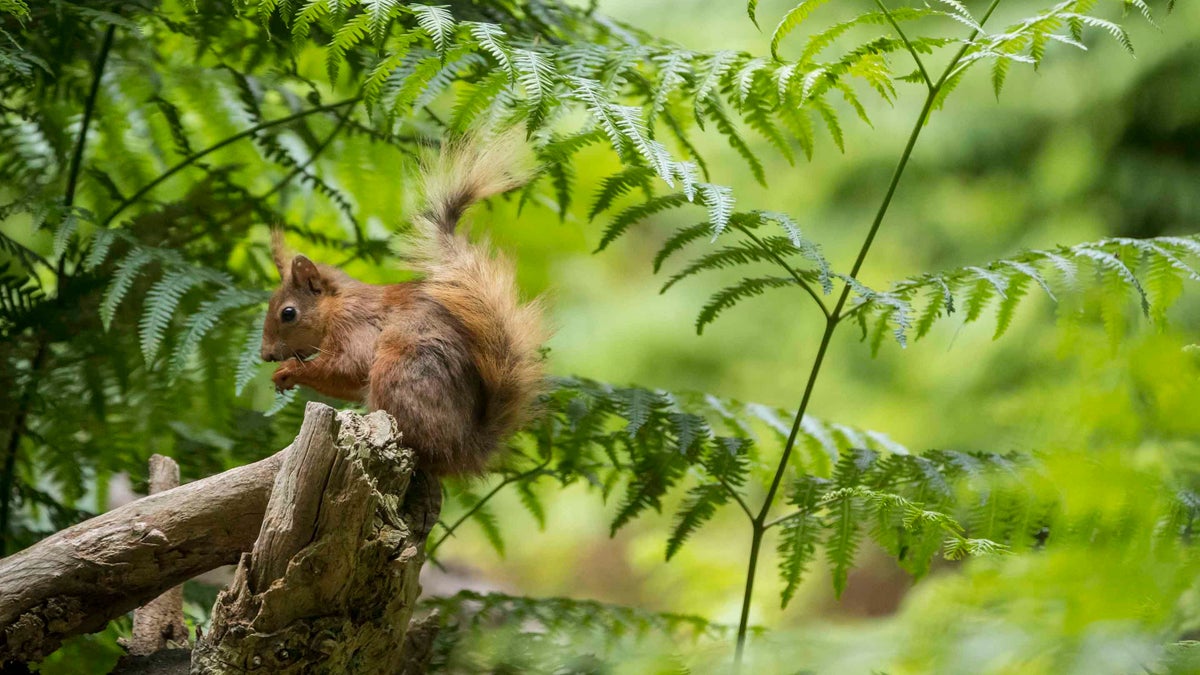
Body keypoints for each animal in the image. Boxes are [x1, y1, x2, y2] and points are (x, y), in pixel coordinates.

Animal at [259, 132, 547, 476]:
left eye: (288, 313)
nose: (266, 355)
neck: (336, 305)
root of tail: (462, 449)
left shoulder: (354, 326)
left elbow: (347, 367)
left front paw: (288, 372)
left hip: (398, 371)